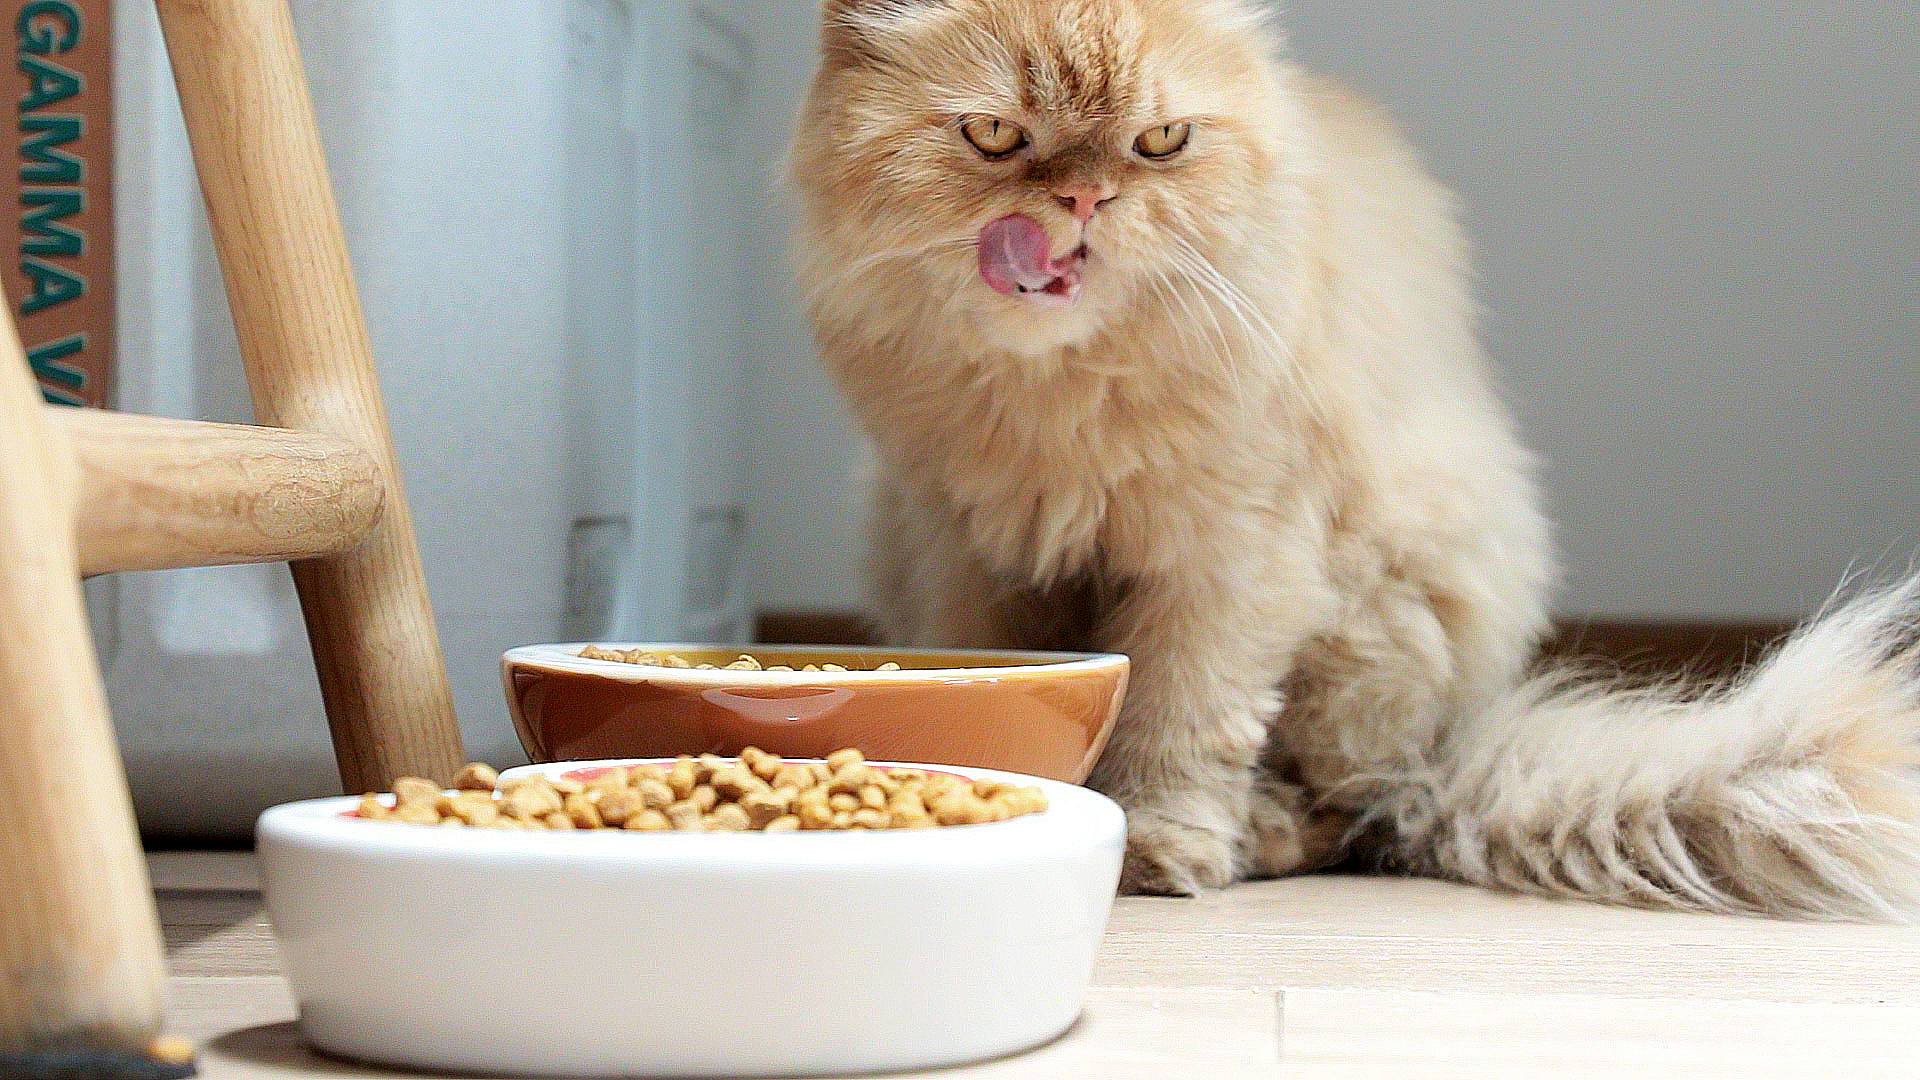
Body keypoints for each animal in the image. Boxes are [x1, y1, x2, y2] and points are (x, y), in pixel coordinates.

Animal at [783, 0, 1920, 914]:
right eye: (995, 136)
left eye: (1160, 142)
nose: (1085, 202)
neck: (1057, 395)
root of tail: (1459, 755)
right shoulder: (967, 551)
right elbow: (991, 671)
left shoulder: (1231, 561)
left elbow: (1181, 722)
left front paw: (1158, 845)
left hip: (1382, 621)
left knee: (1362, 818)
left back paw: (1260, 836)